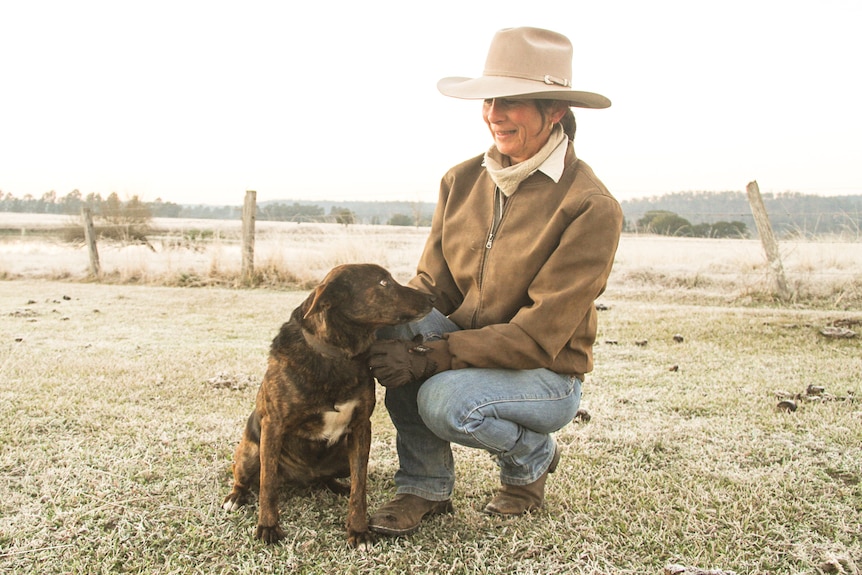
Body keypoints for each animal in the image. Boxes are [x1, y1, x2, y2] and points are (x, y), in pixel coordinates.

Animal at [224, 264, 432, 548]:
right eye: (383, 282)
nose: (432, 297)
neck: (339, 355)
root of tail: (302, 478)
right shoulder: (273, 426)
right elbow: (267, 485)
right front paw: (268, 526)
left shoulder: (360, 428)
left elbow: (359, 487)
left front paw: (358, 530)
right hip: (251, 452)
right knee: (245, 477)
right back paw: (236, 497)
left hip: (342, 457)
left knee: (328, 478)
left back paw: (336, 486)